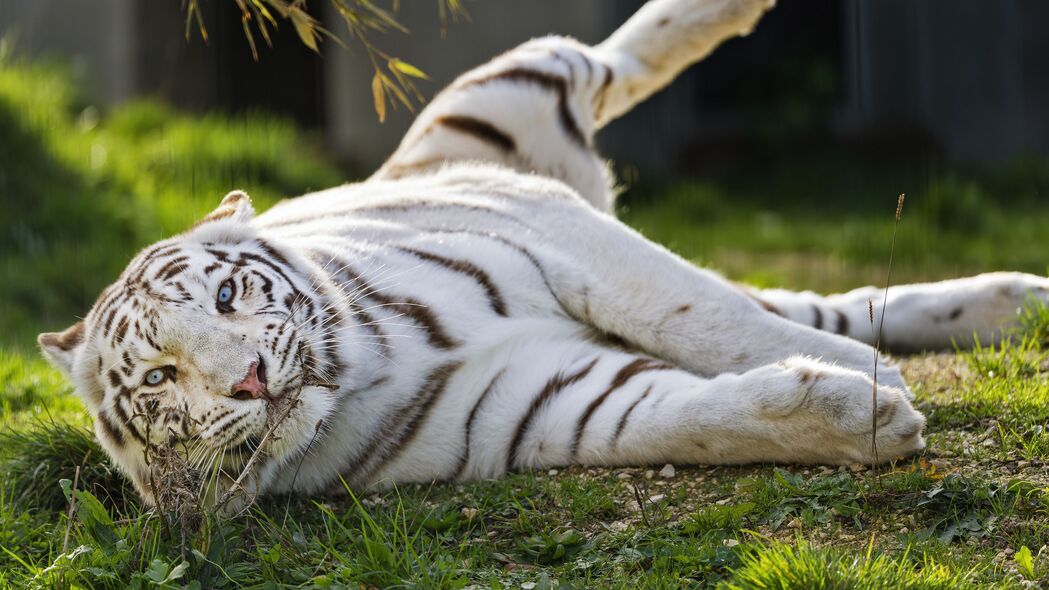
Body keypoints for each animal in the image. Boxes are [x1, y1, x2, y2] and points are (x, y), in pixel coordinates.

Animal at [36, 0, 1044, 506]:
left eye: (229, 297)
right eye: (159, 378)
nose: (246, 380)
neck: (370, 365)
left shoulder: (554, 231)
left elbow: (700, 316)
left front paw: (866, 378)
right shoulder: (545, 402)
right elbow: (697, 413)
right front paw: (857, 414)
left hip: (500, 97)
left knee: (610, 59)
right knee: (819, 301)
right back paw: (1017, 303)